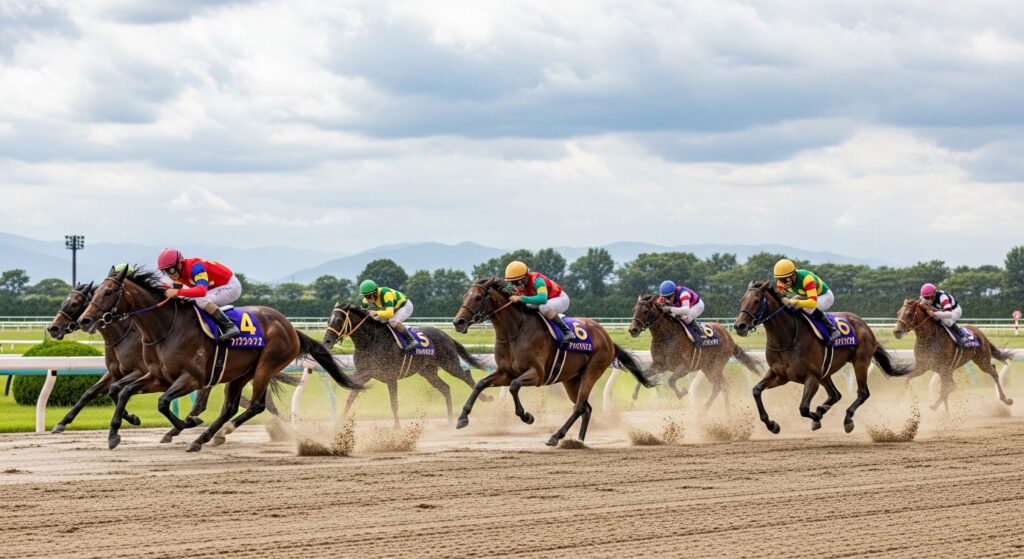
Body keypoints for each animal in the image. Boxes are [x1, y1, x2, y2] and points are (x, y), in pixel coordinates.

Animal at [76, 267, 362, 452]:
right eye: (96, 292)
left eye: (108, 292)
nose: (84, 320)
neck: (165, 328)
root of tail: (291, 327)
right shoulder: (157, 377)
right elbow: (124, 391)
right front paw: (115, 434)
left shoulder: (192, 378)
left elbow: (162, 402)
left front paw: (187, 423)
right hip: (240, 374)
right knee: (230, 407)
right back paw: (206, 437)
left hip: (266, 366)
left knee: (255, 405)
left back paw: (212, 434)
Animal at [322, 303, 492, 426]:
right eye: (328, 320)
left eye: (339, 320)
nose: (327, 342)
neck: (370, 341)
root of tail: (446, 335)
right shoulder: (366, 372)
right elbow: (350, 397)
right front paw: (339, 423)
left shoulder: (387, 375)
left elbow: (394, 403)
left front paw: (397, 427)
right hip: (428, 372)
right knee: (445, 388)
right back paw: (450, 420)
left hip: (450, 363)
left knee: (466, 375)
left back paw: (486, 398)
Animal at [452, 277, 655, 446]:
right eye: (465, 296)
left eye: (478, 297)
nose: (458, 322)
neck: (514, 332)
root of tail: (607, 338)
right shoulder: (505, 372)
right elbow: (481, 384)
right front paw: (462, 418)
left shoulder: (537, 374)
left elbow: (514, 386)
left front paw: (527, 416)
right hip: (571, 379)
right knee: (586, 408)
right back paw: (578, 441)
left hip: (592, 372)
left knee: (579, 407)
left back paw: (556, 436)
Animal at [627, 294, 762, 409]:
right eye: (634, 310)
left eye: (645, 311)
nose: (632, 329)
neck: (666, 336)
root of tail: (730, 339)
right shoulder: (660, 365)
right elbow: (642, 376)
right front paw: (634, 396)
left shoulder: (685, 366)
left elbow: (671, 381)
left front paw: (682, 393)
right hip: (707, 367)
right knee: (722, 386)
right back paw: (725, 411)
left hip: (716, 365)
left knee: (718, 386)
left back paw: (706, 408)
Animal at [733, 280, 912, 434]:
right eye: (741, 300)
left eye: (756, 301)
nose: (739, 326)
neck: (787, 338)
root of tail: (864, 325)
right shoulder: (780, 375)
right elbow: (756, 390)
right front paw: (772, 425)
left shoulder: (811, 377)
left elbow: (804, 408)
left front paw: (817, 417)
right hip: (826, 371)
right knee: (835, 394)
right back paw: (823, 409)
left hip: (860, 362)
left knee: (862, 393)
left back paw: (847, 419)